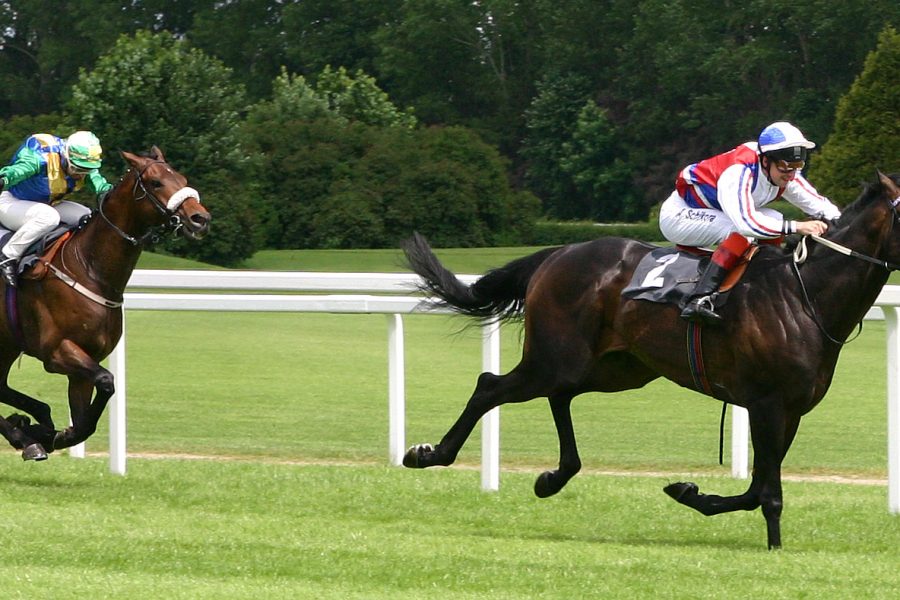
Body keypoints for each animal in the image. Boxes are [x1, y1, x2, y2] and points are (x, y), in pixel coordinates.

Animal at [0, 146, 210, 462]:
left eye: (182, 178)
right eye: (156, 182)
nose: (200, 218)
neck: (89, 269)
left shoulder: (85, 363)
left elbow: (86, 419)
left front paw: (46, 432)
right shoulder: (58, 352)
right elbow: (107, 381)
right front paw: (38, 433)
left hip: (7, 345)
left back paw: (32, 423)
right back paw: (23, 435)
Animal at [401, 171, 900, 550]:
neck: (803, 295)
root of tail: (558, 253)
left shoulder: (790, 410)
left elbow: (757, 488)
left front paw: (689, 491)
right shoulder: (767, 404)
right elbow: (767, 492)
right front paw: (773, 546)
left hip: (613, 367)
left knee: (560, 396)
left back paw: (554, 477)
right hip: (555, 357)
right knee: (490, 385)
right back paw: (429, 454)